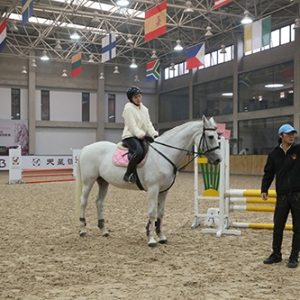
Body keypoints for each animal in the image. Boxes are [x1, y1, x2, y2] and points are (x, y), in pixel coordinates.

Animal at [74, 116, 220, 247]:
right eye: (210, 137)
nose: (218, 159)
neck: (164, 154)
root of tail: (87, 148)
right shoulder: (153, 189)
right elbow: (152, 212)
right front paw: (151, 239)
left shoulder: (164, 191)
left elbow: (160, 212)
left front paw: (161, 236)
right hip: (88, 181)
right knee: (83, 201)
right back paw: (82, 230)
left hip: (103, 181)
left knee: (99, 202)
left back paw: (104, 230)